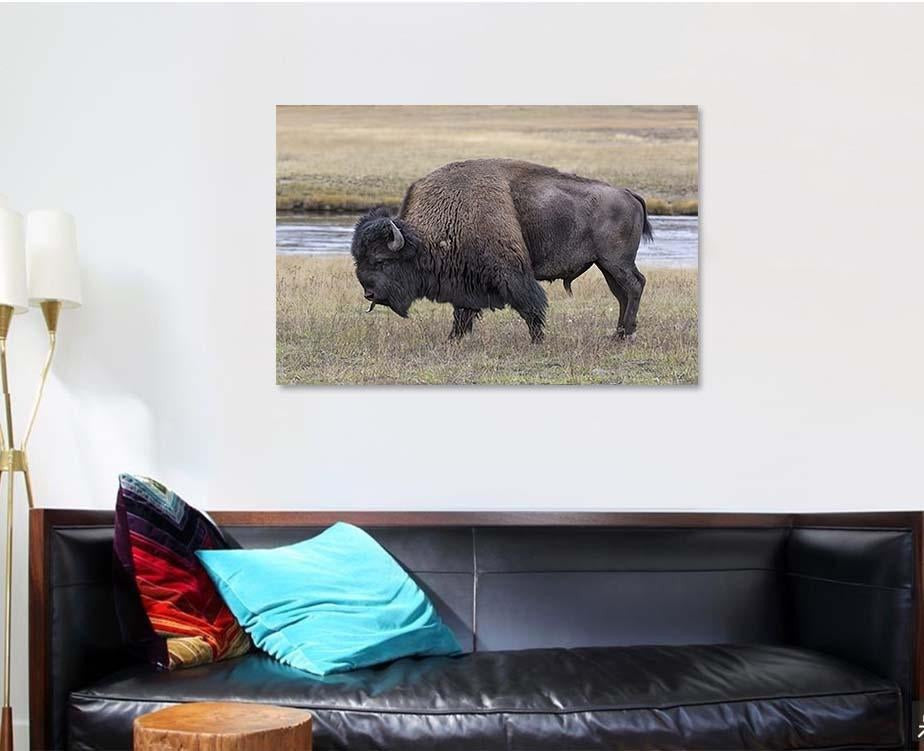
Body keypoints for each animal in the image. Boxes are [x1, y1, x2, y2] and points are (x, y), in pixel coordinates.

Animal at [351, 158, 652, 342]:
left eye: (380, 260)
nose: (369, 294)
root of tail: (628, 193)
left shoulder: (510, 273)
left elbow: (529, 305)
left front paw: (538, 339)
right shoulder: (465, 281)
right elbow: (463, 312)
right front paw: (453, 338)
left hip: (616, 262)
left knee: (634, 286)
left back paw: (626, 334)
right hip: (606, 265)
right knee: (622, 294)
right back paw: (618, 334)